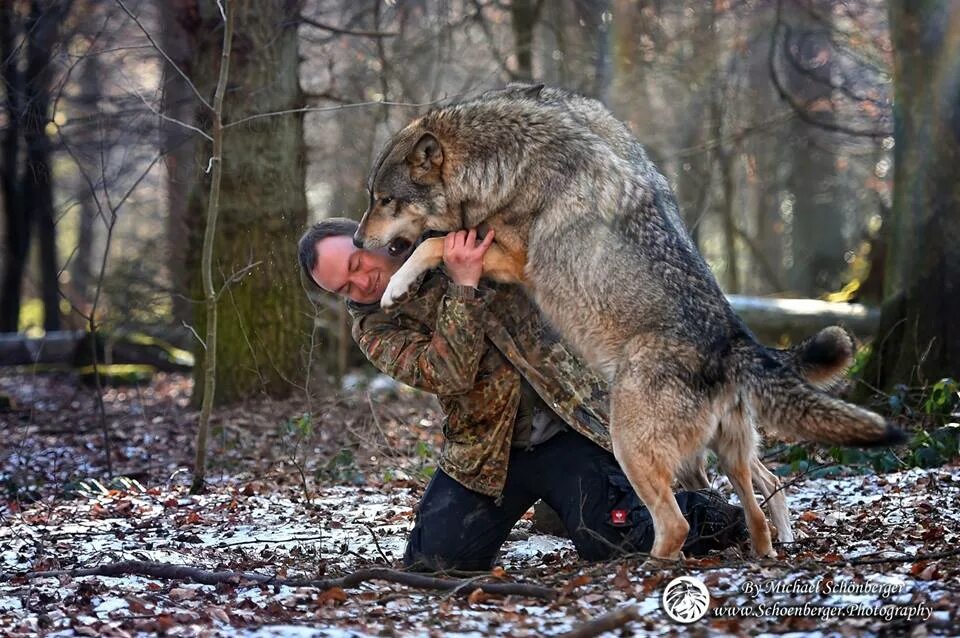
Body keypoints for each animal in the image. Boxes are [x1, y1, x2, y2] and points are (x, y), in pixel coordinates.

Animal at [350, 85, 900, 564]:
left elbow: (435, 245)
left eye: (385, 200)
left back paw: (644, 571)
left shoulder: (513, 260)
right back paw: (766, 550)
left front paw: (394, 286)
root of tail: (732, 341)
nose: (356, 241)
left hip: (631, 445)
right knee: (756, 508)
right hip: (721, 454)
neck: (502, 165)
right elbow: (438, 244)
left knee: (677, 523)